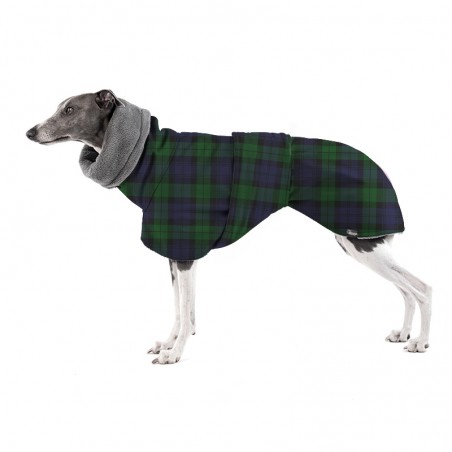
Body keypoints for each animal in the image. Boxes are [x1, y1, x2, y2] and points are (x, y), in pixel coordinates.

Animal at [26, 89, 432, 364]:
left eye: (69, 109)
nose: (30, 132)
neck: (147, 156)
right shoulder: (178, 251)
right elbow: (182, 310)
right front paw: (169, 342)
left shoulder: (184, 251)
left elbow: (184, 309)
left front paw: (175, 353)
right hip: (358, 244)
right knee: (406, 290)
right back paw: (403, 333)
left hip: (364, 243)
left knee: (422, 288)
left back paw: (420, 341)